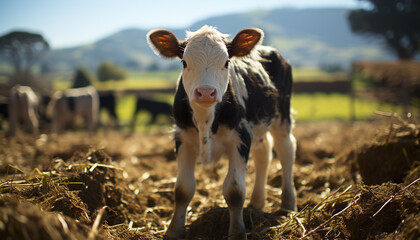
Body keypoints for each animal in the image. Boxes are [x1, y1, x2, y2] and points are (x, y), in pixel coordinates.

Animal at [147, 25, 296, 239]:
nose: (206, 92)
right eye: (184, 62)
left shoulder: (241, 137)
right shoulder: (182, 138)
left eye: (226, 62)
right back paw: (257, 203)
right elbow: (183, 189)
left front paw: (237, 232)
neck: (205, 119)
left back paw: (288, 204)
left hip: (282, 117)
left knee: (286, 151)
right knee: (264, 154)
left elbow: (234, 190)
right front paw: (174, 231)